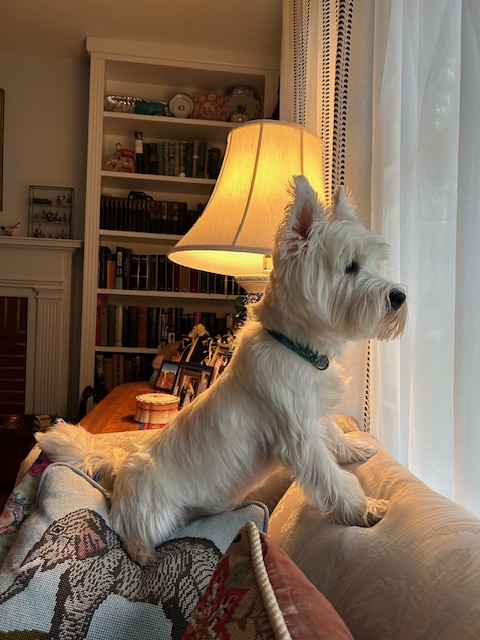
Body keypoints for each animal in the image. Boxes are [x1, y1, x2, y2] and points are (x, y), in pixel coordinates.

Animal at [37, 175, 407, 566]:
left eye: (373, 264)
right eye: (350, 266)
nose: (399, 297)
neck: (297, 347)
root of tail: (120, 468)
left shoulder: (315, 417)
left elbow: (335, 435)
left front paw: (356, 449)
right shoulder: (299, 438)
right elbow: (335, 480)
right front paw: (366, 509)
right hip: (153, 508)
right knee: (129, 528)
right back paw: (144, 554)